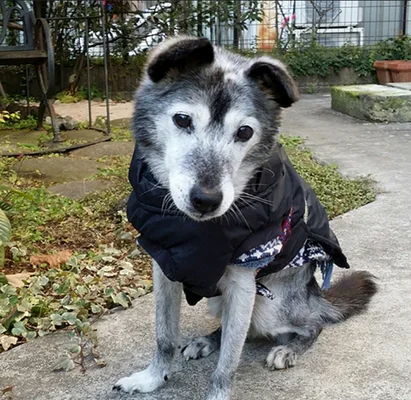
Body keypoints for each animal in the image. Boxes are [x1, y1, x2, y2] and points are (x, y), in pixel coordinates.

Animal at [114, 36, 378, 398]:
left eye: (244, 132)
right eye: (181, 119)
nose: (206, 200)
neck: (198, 231)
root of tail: (316, 296)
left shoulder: (243, 281)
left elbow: (229, 363)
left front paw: (218, 390)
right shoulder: (164, 268)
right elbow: (165, 336)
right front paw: (152, 378)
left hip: (271, 305)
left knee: (311, 324)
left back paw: (290, 347)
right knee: (235, 328)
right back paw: (206, 341)